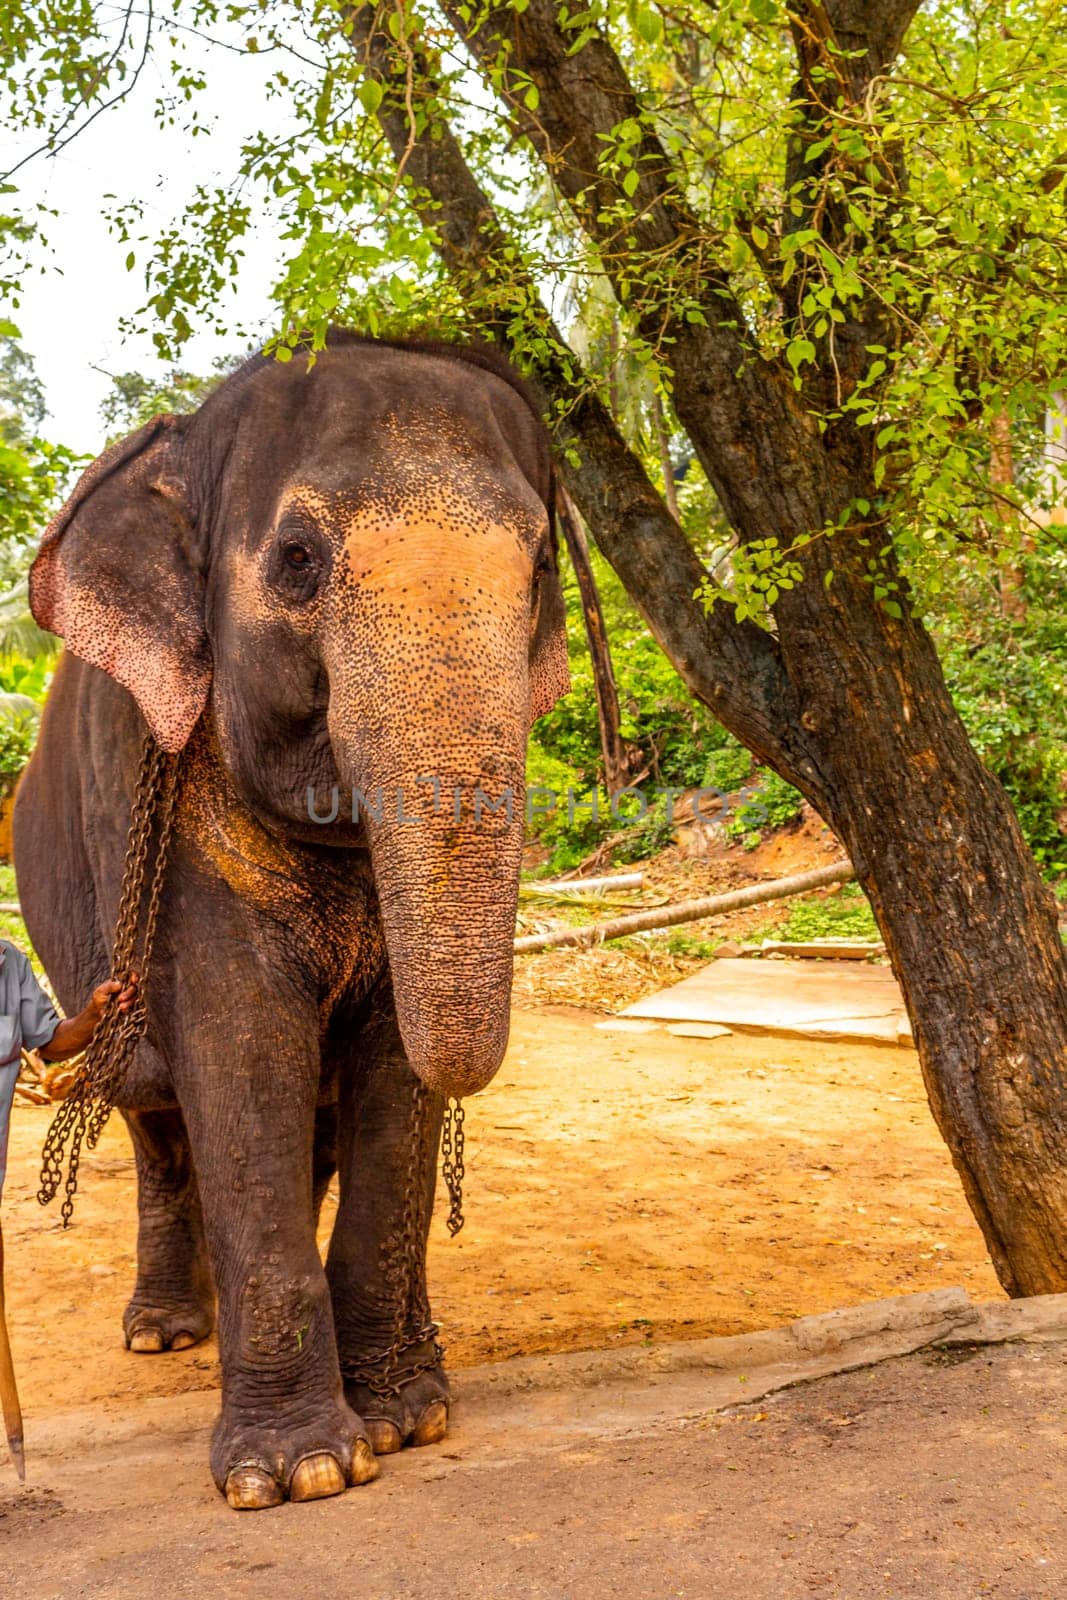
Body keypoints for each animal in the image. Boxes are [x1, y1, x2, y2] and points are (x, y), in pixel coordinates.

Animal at [12, 331, 572, 1504]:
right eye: (300, 560)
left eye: (541, 568)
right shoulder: (169, 803)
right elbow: (243, 1045)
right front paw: (297, 1473)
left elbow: (388, 1062)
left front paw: (406, 1418)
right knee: (159, 1119)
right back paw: (167, 1331)